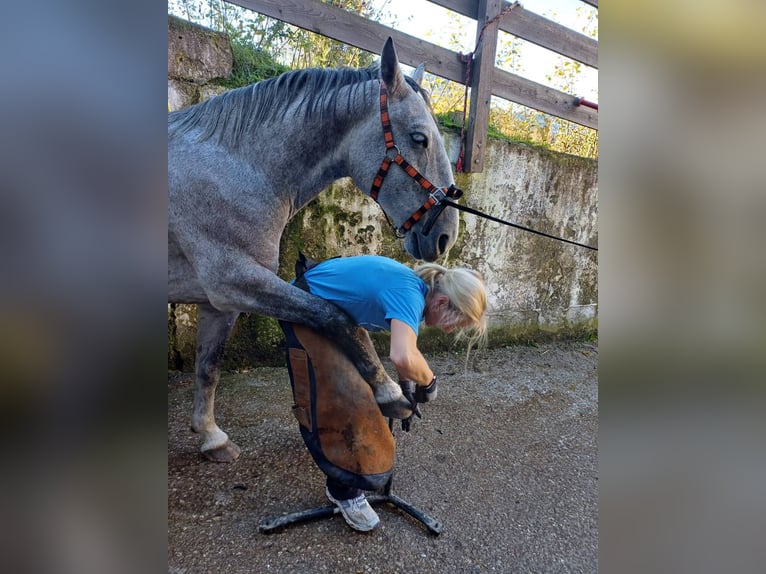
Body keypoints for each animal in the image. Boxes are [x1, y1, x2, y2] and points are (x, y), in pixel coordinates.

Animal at [168, 38, 460, 464]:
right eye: (419, 138)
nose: (445, 236)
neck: (238, 168)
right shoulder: (235, 281)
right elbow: (337, 316)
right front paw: (388, 391)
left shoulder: (220, 301)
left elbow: (208, 368)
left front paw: (211, 437)